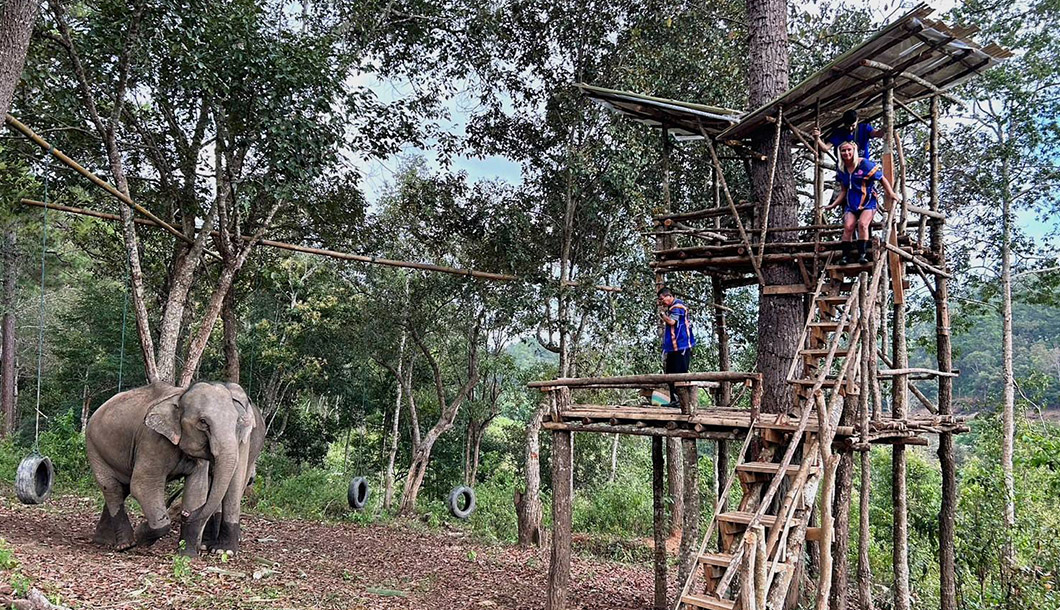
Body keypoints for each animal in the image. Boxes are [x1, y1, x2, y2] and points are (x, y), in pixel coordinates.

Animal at [83, 381, 263, 560]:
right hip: (94, 448)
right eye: (203, 422)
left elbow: (197, 490)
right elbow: (142, 486)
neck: (181, 395)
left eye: (236, 422)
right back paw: (125, 544)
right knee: (112, 488)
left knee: (122, 488)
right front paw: (141, 535)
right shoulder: (152, 439)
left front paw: (188, 556)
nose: (185, 514)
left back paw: (105, 540)